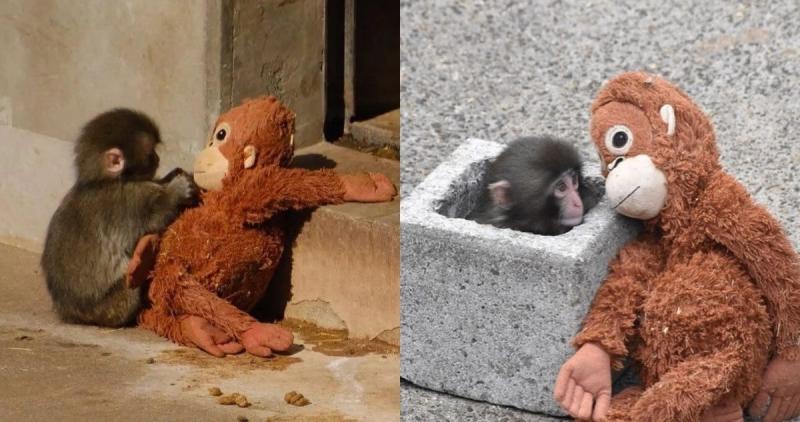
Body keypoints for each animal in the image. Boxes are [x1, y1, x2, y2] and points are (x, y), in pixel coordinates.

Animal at [41, 109, 198, 327]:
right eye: (150, 153)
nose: (157, 158)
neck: (102, 181)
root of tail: (71, 314)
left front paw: (170, 177)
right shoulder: (130, 200)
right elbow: (154, 220)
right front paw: (177, 190)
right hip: (111, 307)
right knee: (130, 287)